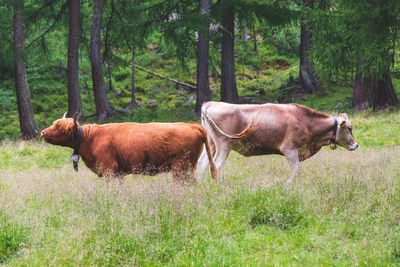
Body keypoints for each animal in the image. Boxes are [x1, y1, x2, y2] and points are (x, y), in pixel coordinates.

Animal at [41, 114, 217, 183]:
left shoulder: (109, 170)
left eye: (59, 127)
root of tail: (190, 125)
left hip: (180, 168)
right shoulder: (118, 173)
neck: (90, 139)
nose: (43, 132)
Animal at [198, 101, 358, 183]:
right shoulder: (290, 149)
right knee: (217, 165)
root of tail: (210, 103)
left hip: (211, 144)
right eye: (349, 128)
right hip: (224, 144)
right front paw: (289, 185)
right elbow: (297, 169)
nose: (355, 145)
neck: (307, 122)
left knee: (203, 163)